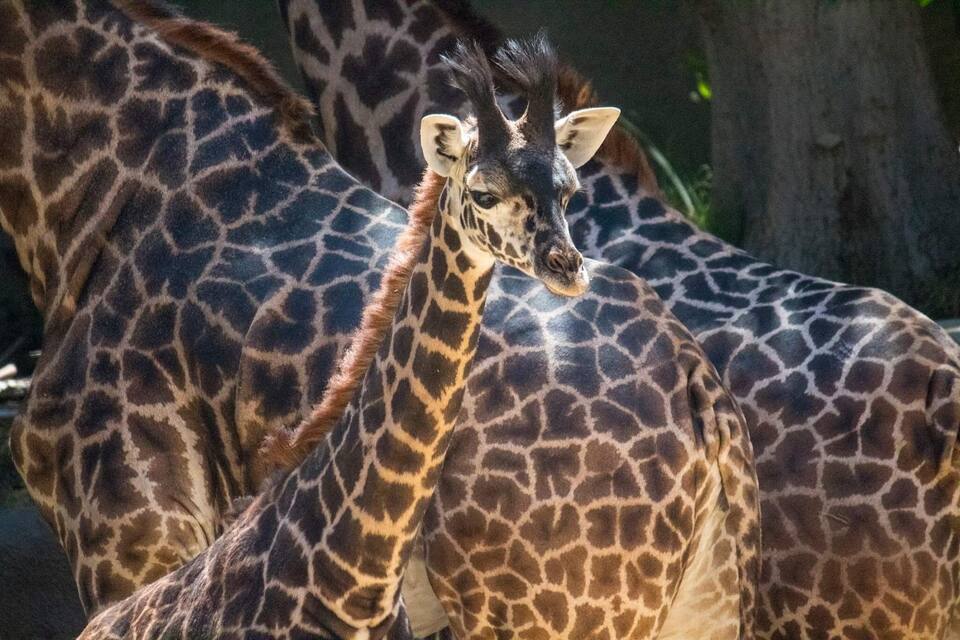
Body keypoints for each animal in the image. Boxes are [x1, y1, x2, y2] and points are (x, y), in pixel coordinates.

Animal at [0, 1, 760, 634]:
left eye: (570, 191)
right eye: (484, 192)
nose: (567, 264)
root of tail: (700, 390)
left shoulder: (130, 530)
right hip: (704, 606)